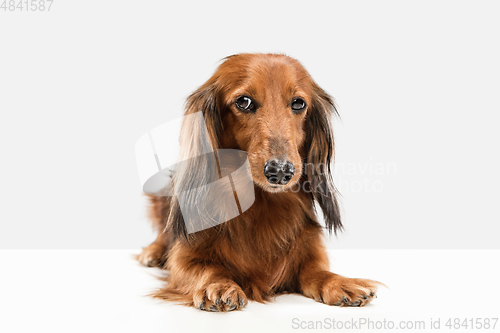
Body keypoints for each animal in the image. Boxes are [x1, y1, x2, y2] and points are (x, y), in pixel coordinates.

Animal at [139, 53, 380, 310]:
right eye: (243, 102)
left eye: (298, 103)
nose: (280, 171)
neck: (261, 202)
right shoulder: (186, 255)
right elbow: (205, 269)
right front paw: (218, 284)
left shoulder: (309, 250)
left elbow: (318, 271)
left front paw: (342, 282)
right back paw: (152, 253)